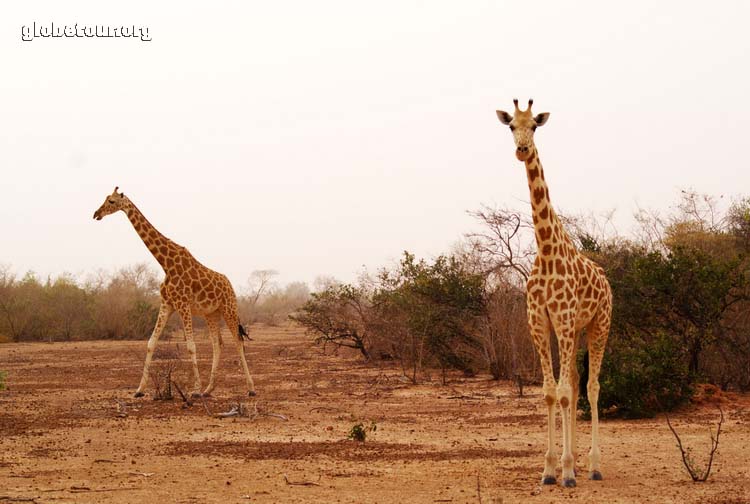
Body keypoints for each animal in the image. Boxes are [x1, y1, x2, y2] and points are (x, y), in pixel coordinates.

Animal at [93, 187, 258, 400]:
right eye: (106, 199)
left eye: (112, 201)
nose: (96, 214)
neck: (166, 264)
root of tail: (230, 285)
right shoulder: (167, 304)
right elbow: (151, 343)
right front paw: (139, 389)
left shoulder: (183, 304)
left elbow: (191, 346)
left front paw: (194, 389)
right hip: (211, 313)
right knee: (217, 343)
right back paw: (209, 389)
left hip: (229, 308)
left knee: (238, 341)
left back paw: (250, 388)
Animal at [496, 100, 612, 486]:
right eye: (510, 126)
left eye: (534, 125)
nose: (521, 149)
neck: (546, 250)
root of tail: (607, 281)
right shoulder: (540, 323)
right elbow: (550, 394)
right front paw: (550, 469)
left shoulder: (562, 320)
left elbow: (562, 393)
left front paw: (568, 471)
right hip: (575, 330)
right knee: (575, 385)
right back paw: (574, 461)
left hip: (598, 325)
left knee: (591, 387)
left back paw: (592, 465)